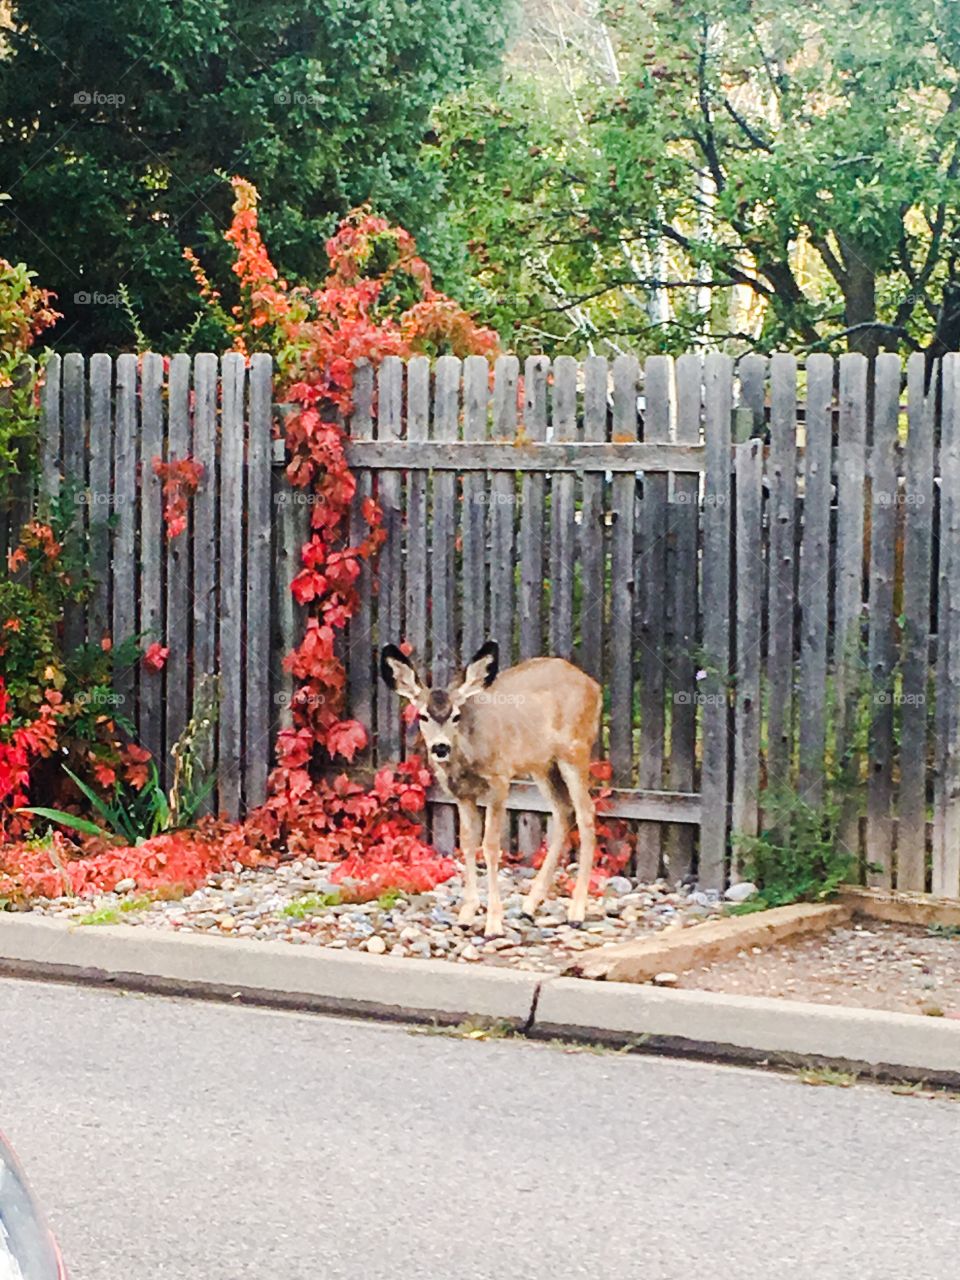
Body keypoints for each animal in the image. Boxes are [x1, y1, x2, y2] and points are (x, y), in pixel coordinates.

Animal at [381, 645, 601, 936]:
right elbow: (467, 842)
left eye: (456, 715)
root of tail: (594, 686)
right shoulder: (462, 795)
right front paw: (467, 914)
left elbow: (491, 845)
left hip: (575, 751)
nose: (440, 747)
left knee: (586, 813)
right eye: (422, 715)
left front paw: (494, 923)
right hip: (543, 764)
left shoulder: (499, 781)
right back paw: (530, 905)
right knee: (563, 811)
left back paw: (576, 911)